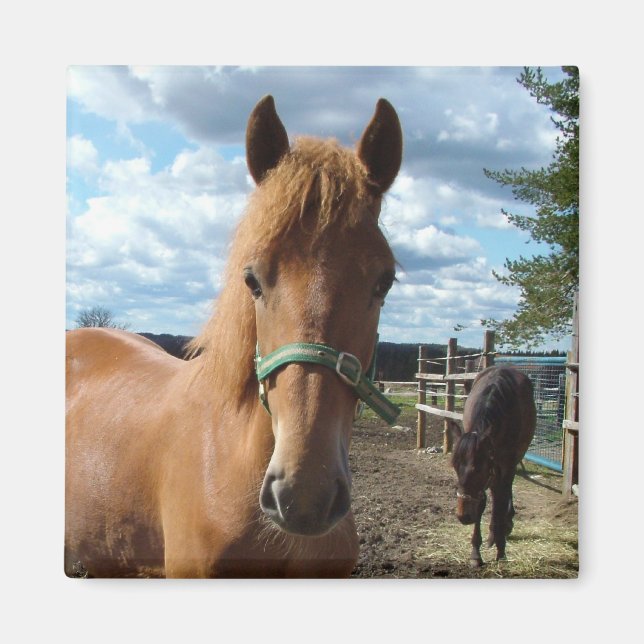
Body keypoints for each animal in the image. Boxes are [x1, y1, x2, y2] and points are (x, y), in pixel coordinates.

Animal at [450, 365, 536, 567]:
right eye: (455, 467)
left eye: (478, 468)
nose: (463, 516)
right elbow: (482, 503)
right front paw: (476, 553)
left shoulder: (505, 465)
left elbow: (500, 501)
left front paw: (501, 551)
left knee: (503, 494)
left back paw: (503, 527)